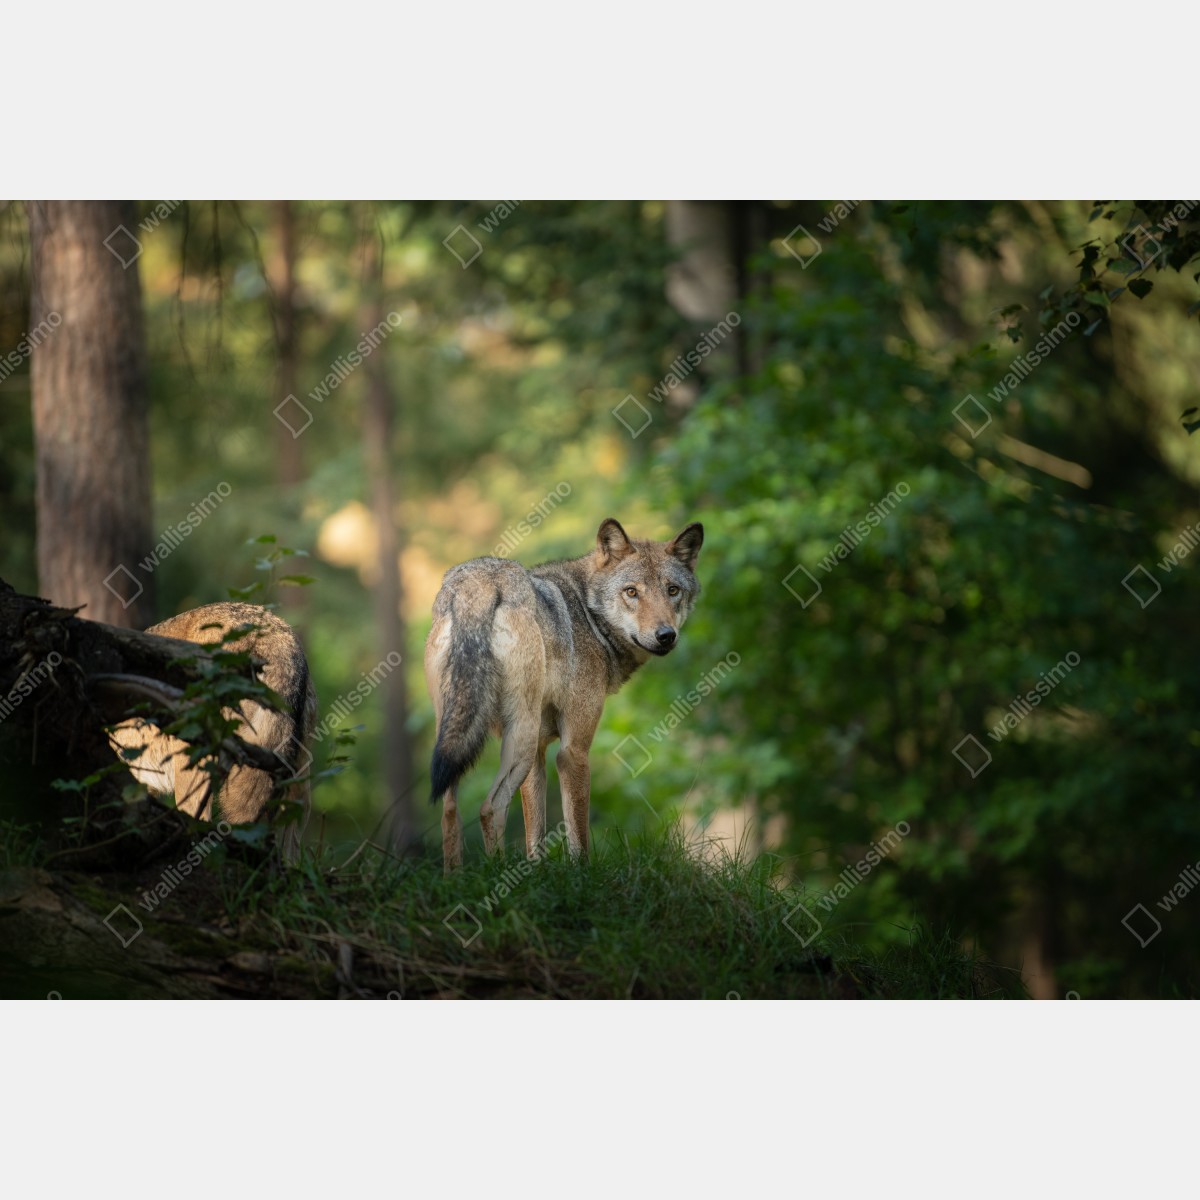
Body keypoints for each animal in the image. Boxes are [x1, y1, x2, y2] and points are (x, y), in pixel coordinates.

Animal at [425, 517, 704, 870]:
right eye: (632, 592)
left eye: (672, 590)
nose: (666, 635)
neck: (588, 614)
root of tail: (479, 583)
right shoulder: (572, 751)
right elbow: (577, 834)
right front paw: (581, 875)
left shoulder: (540, 753)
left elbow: (535, 834)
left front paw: (535, 872)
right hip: (521, 737)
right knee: (489, 808)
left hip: (459, 736)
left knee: (449, 812)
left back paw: (456, 877)